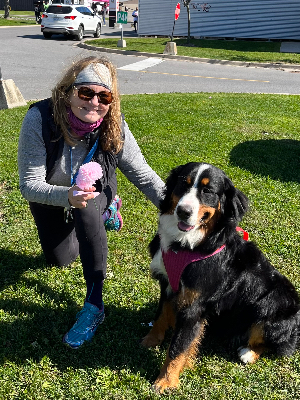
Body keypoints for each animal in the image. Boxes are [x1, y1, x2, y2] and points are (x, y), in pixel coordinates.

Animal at [141, 162, 300, 394]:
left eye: (208, 191)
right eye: (183, 183)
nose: (183, 211)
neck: (186, 245)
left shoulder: (193, 305)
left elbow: (178, 347)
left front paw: (166, 381)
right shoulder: (168, 284)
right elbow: (161, 314)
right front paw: (151, 339)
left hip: (271, 303)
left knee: (277, 344)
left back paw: (248, 352)